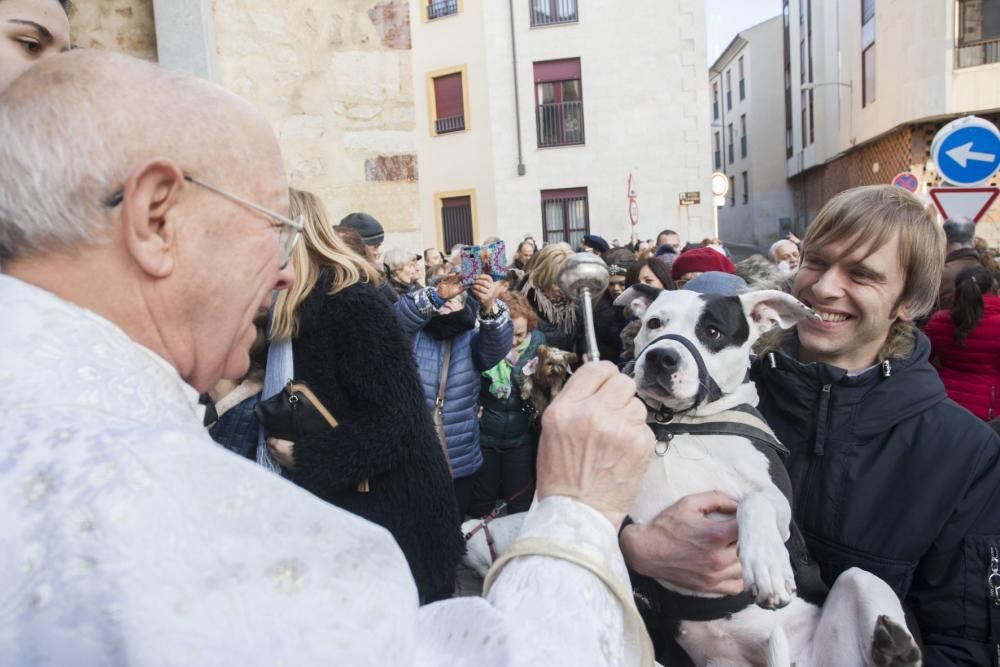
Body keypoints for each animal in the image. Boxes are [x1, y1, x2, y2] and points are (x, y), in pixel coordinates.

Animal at [616, 284, 920, 664]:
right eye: (654, 323)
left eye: (712, 332)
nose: (661, 357)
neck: (681, 427)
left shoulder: (779, 502)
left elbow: (755, 500)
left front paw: (767, 563)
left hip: (860, 578)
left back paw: (895, 648)